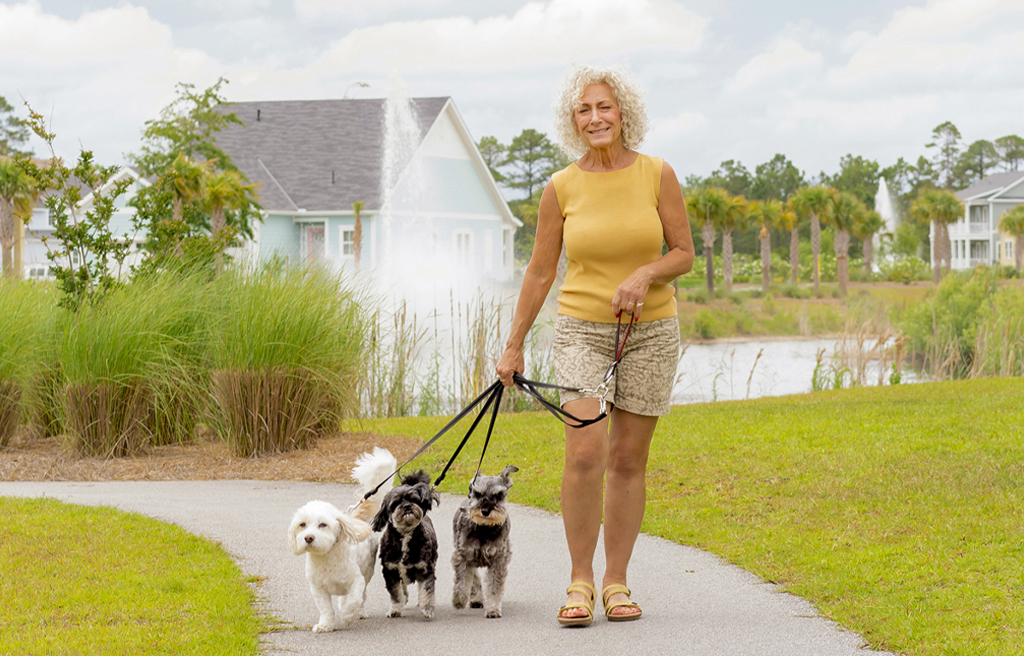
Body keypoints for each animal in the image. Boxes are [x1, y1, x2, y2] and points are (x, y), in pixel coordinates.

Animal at [292, 446, 399, 630]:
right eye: (302, 524)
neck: (327, 559)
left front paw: (348, 616)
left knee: (360, 596)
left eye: (323, 525)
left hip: (367, 571)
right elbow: (326, 608)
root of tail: (355, 518)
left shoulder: (357, 581)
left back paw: (358, 612)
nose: (309, 538)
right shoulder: (318, 589)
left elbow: (355, 599)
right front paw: (326, 625)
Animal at [370, 468, 438, 618]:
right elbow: (395, 593)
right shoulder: (390, 570)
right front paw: (395, 609)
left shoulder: (425, 568)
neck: (405, 535)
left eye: (413, 499)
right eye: (395, 503)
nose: (407, 506)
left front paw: (427, 608)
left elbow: (426, 590)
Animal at [452, 462, 520, 618]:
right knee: (474, 577)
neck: (484, 527)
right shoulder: (463, 556)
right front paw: (459, 600)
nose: (485, 511)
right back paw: (475, 598)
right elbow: (462, 581)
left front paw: (493, 609)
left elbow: (494, 587)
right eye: (478, 494)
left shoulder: (498, 559)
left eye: (499, 495)